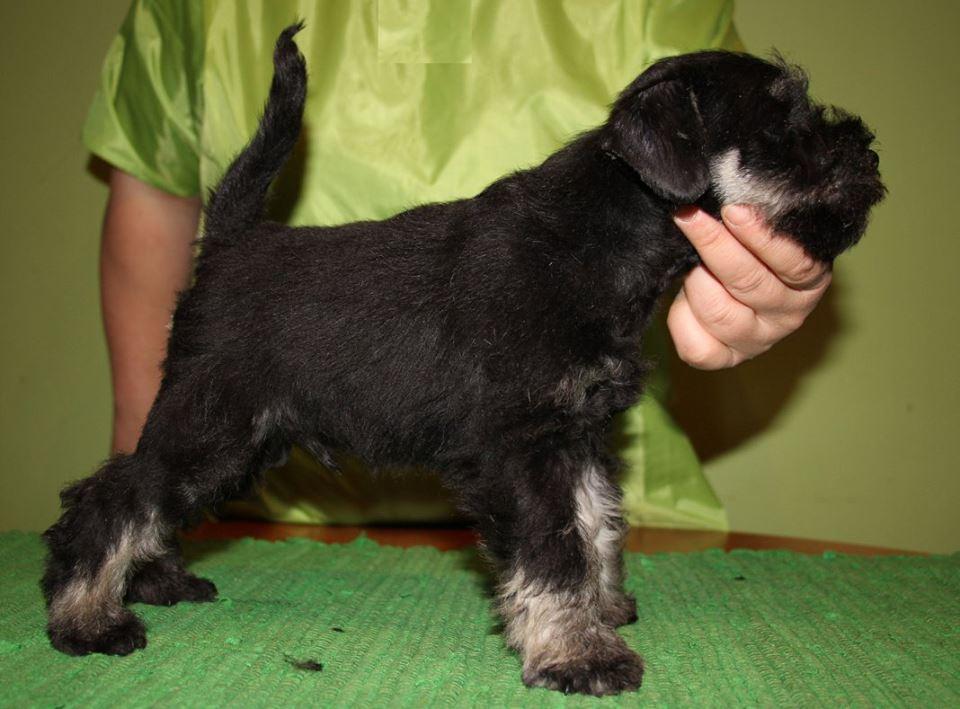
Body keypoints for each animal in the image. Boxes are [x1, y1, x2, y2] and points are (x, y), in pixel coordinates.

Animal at [42, 24, 884, 696]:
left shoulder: (576, 433)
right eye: (782, 118)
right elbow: (555, 549)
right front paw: (579, 653)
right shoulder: (520, 445)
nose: (868, 151)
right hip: (213, 421)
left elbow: (594, 522)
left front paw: (600, 612)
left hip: (240, 442)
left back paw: (156, 580)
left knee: (150, 500)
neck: (601, 238)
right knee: (113, 495)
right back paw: (86, 615)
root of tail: (228, 244)